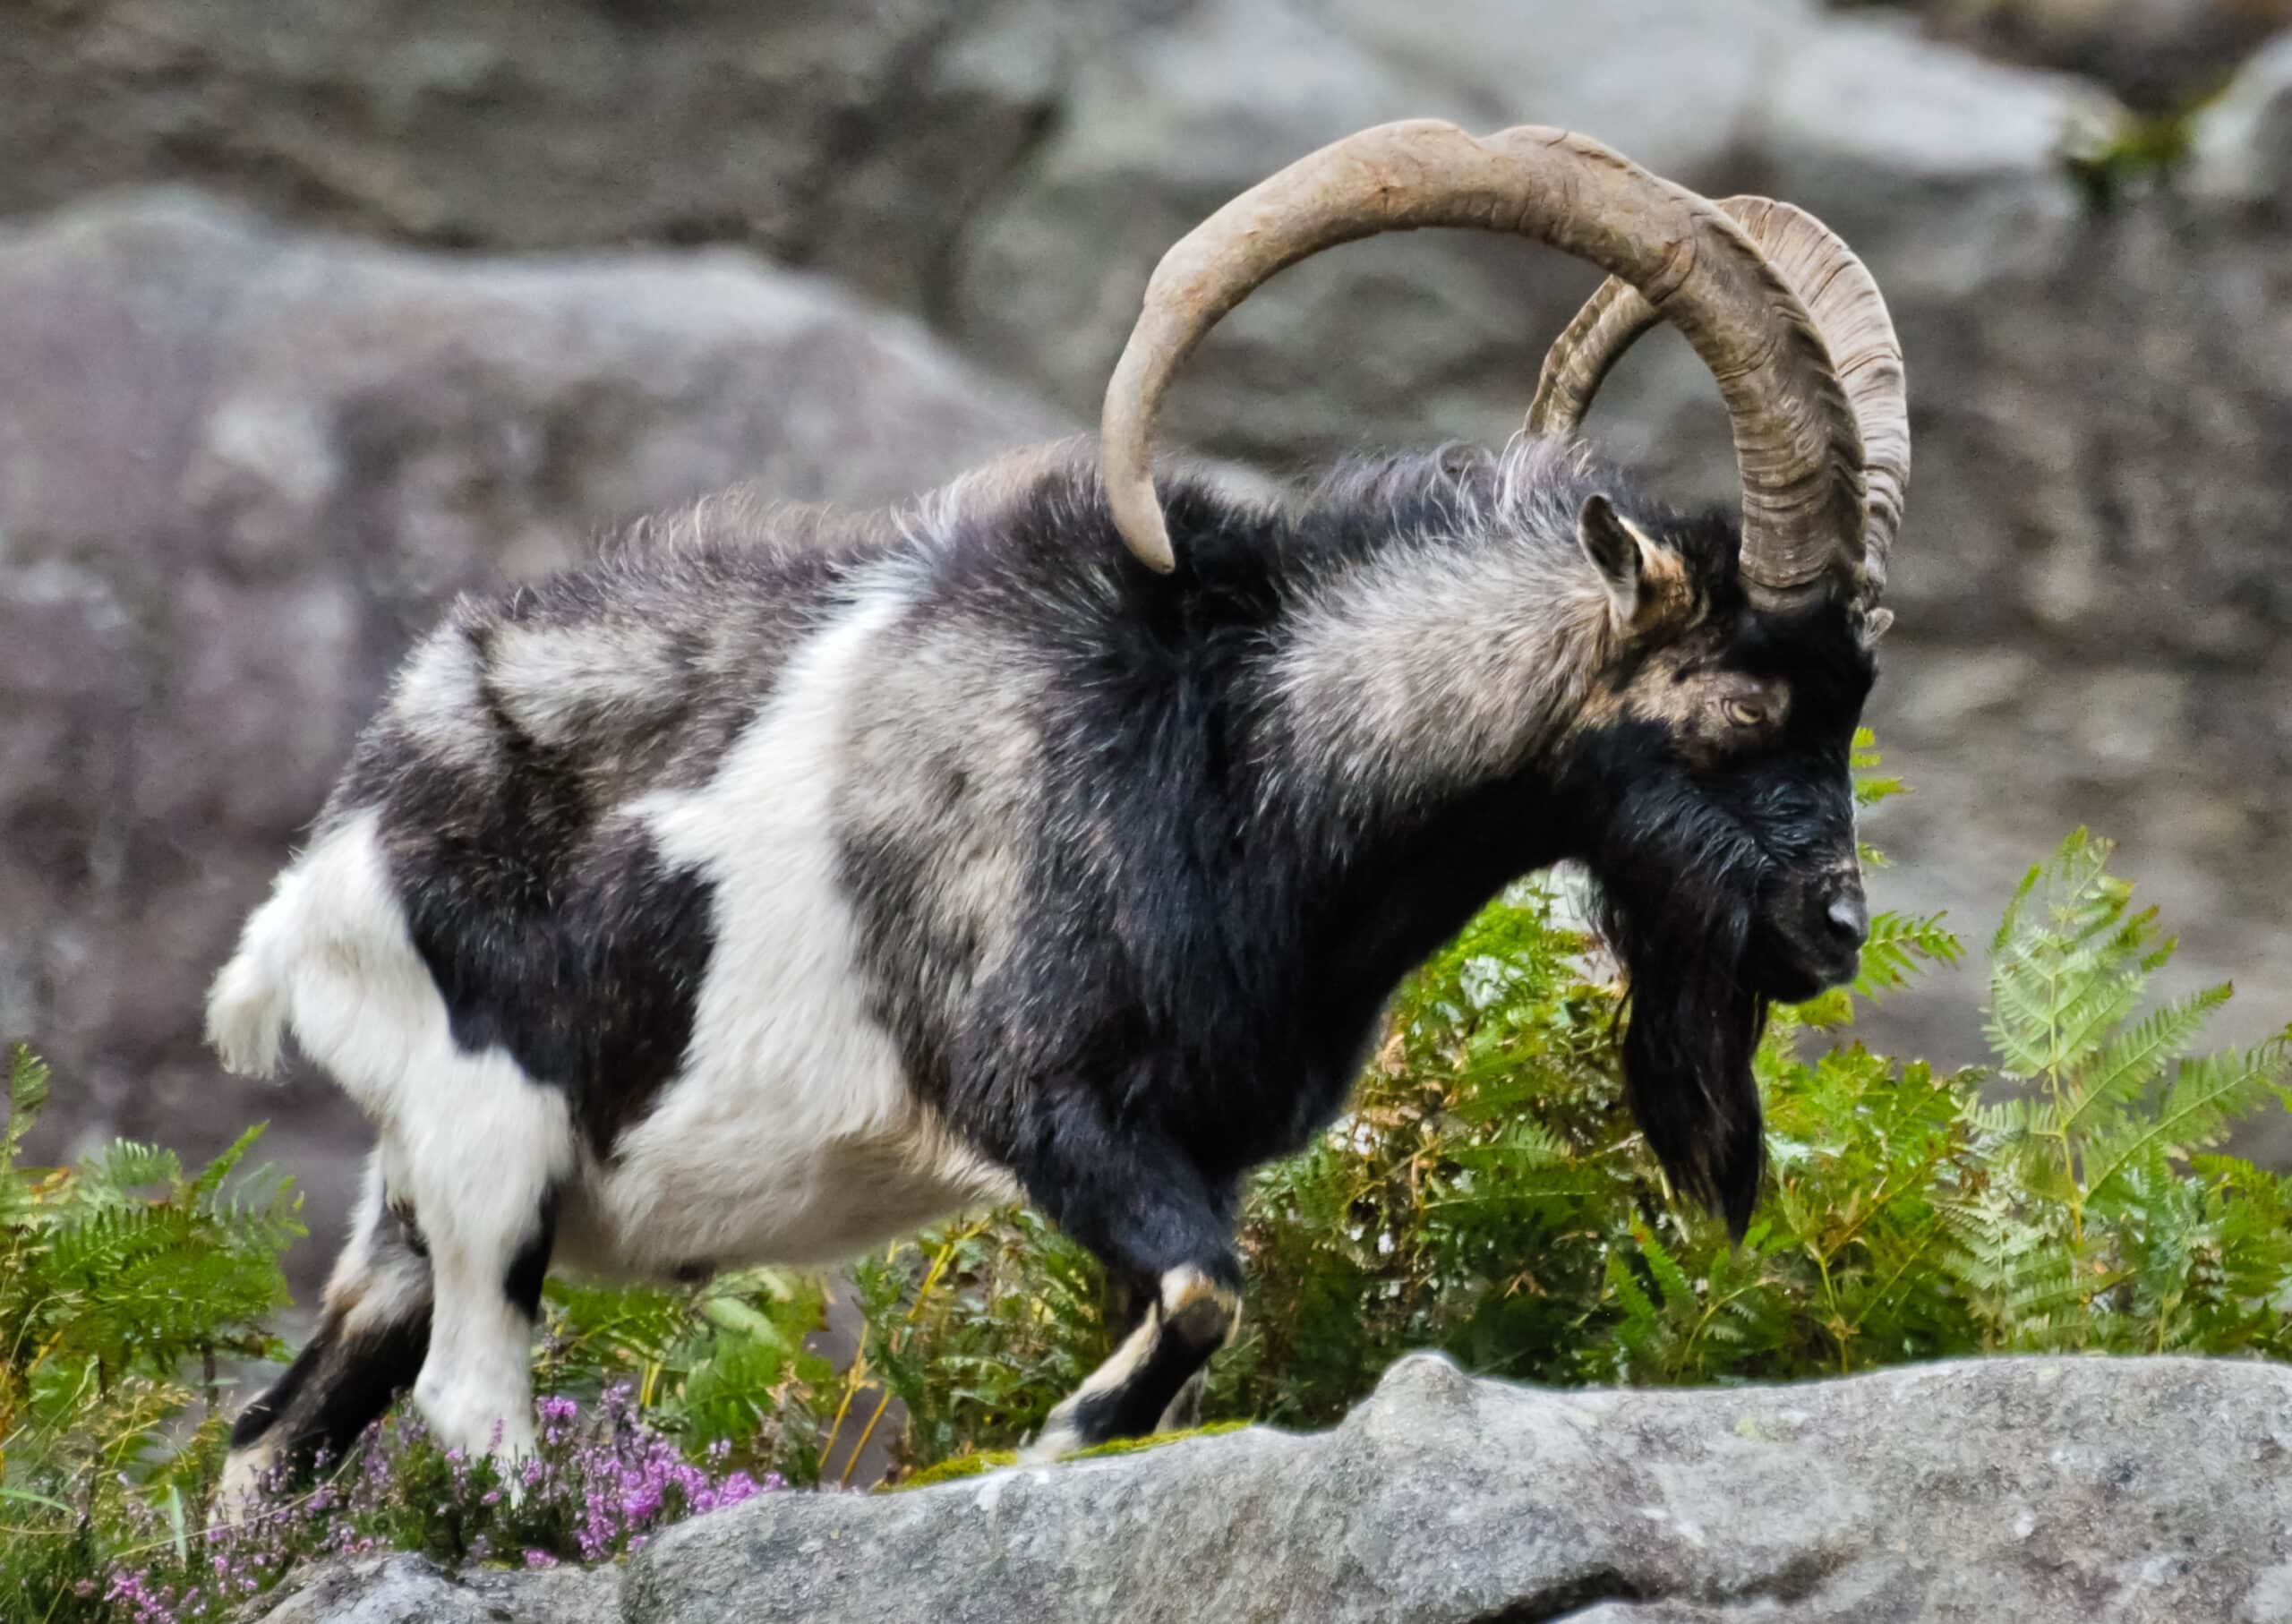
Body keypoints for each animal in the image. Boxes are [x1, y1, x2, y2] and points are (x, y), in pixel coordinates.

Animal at [209, 120, 1909, 1493]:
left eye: (1854, 701)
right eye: (1746, 701)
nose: (1834, 928)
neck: (1234, 752)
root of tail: (332, 854)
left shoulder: (1196, 1148)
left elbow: (1191, 1308)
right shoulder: (1048, 1102)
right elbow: (1206, 1292)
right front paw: (1055, 1441)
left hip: (421, 1202)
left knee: (276, 1433)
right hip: (488, 1145)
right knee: (465, 1403)